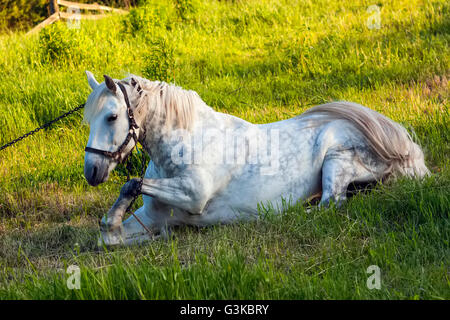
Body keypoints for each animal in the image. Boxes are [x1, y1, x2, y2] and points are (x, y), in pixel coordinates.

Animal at [82, 71, 430, 246]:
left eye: (112, 116)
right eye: (89, 119)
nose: (92, 171)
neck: (189, 141)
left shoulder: (194, 194)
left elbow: (131, 182)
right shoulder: (152, 217)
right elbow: (108, 235)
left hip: (336, 158)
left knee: (330, 204)